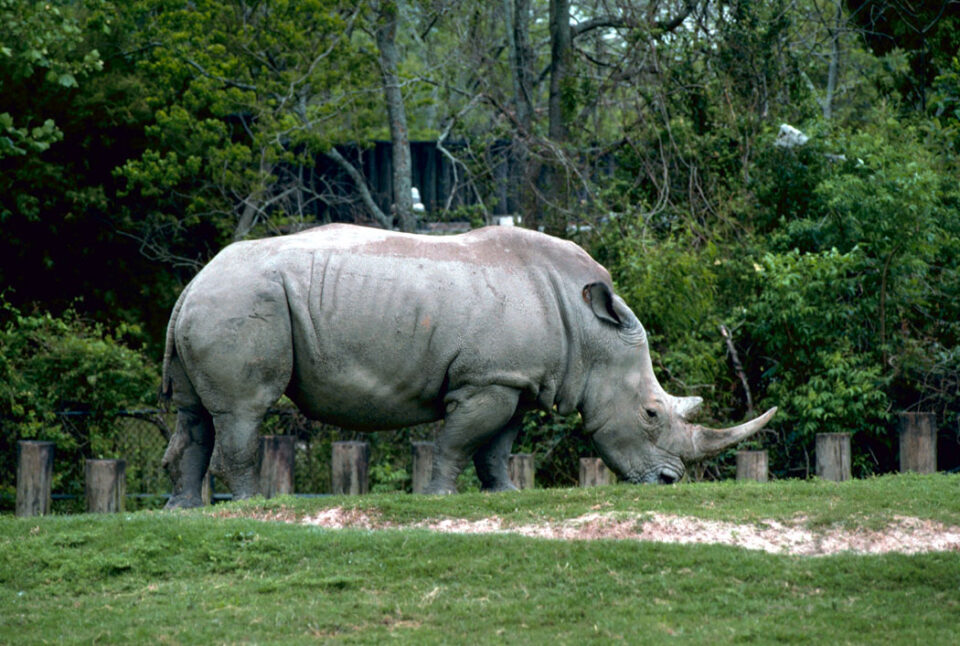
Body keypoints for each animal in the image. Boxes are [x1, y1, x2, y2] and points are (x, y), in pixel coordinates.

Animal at [160, 223, 775, 507]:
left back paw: (182, 508)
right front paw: (438, 498)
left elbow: (497, 447)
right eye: (651, 413)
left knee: (194, 416)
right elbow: (458, 441)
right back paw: (250, 504)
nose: (670, 482)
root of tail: (192, 284)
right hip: (242, 302)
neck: (589, 332)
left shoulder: (515, 380)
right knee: (245, 409)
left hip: (218, 302)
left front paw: (505, 496)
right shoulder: (486, 380)